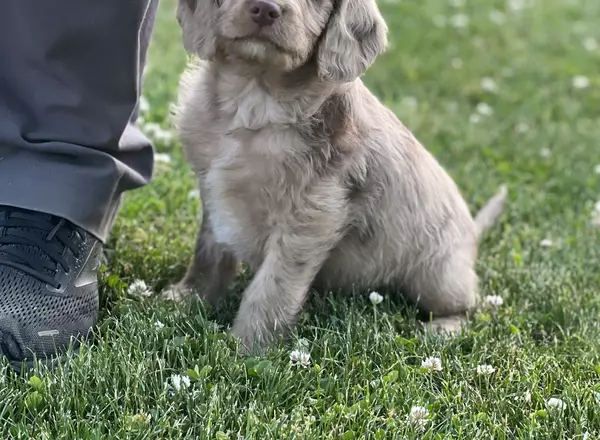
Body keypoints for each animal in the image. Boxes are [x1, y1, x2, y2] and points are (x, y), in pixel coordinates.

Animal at [168, 0, 506, 354]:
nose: (265, 9)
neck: (255, 103)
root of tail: (473, 232)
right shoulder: (214, 193)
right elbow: (208, 253)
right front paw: (189, 297)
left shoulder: (311, 219)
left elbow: (272, 288)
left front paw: (249, 348)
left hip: (438, 276)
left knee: (468, 307)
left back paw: (443, 327)